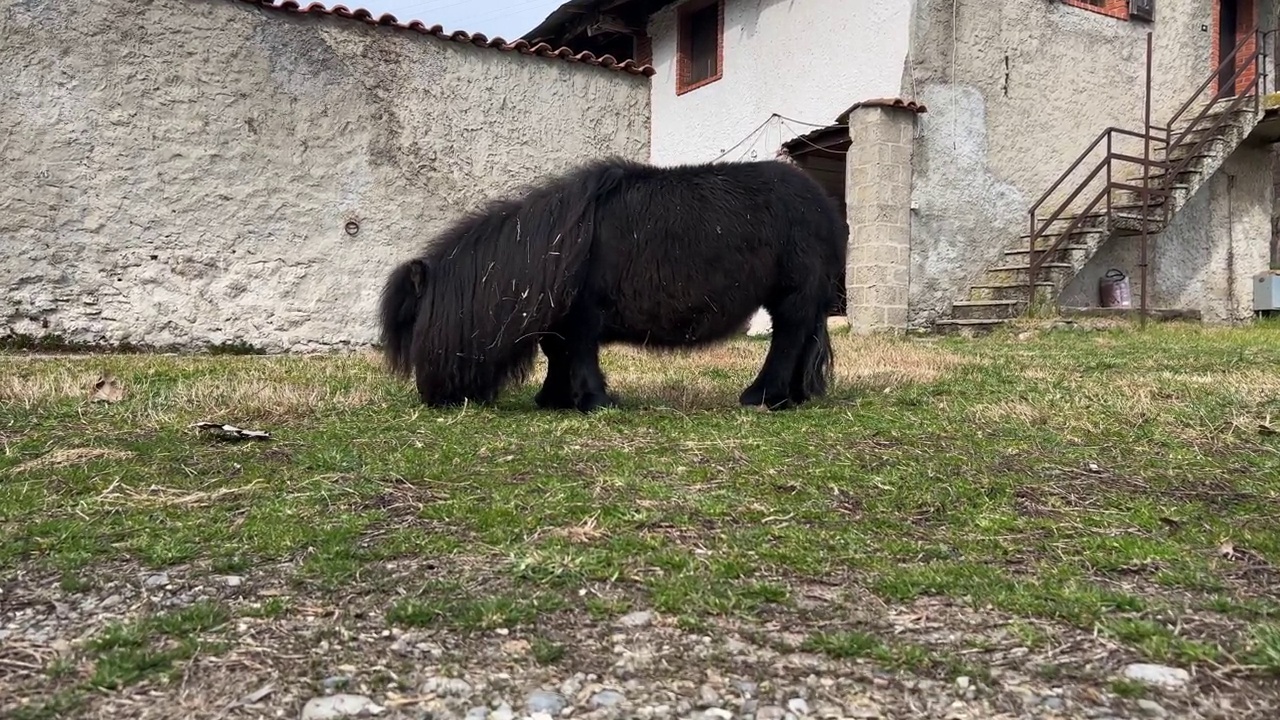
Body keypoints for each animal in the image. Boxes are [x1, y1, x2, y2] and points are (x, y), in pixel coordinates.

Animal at [373, 157, 844, 412]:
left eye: (417, 329)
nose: (431, 397)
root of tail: (824, 204)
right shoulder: (561, 321)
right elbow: (558, 354)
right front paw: (553, 399)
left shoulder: (582, 315)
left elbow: (579, 355)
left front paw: (593, 401)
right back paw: (794, 396)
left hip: (792, 294)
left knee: (787, 339)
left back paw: (763, 396)